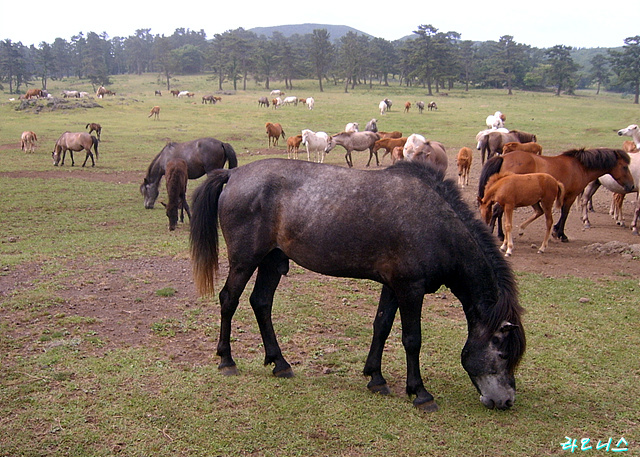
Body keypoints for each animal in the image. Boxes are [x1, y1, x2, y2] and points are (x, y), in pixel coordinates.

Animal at [189, 159, 524, 412]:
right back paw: (227, 360)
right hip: (246, 260)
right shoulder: (410, 289)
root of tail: (233, 174)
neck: (437, 225)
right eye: (503, 355)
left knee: (260, 303)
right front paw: (419, 392)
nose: (507, 401)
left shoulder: (393, 286)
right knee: (229, 299)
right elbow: (412, 339)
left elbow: (382, 326)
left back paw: (280, 363)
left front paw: (375, 377)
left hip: (272, 260)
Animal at [476, 149, 636, 242]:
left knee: (497, 212)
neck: (580, 166)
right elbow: (565, 213)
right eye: (624, 167)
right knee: (497, 211)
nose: (632, 186)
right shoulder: (571, 196)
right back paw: (499, 234)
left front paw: (556, 231)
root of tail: (503, 157)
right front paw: (561, 234)